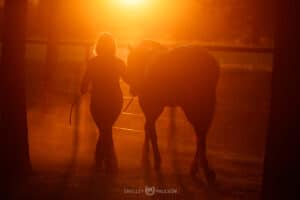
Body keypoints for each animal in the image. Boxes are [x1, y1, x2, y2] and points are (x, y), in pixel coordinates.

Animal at [126, 40, 220, 183]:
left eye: (131, 61)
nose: (133, 90)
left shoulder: (150, 105)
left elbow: (150, 130)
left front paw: (155, 159)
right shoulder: (152, 107)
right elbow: (148, 127)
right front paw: (147, 154)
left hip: (194, 106)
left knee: (200, 133)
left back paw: (202, 169)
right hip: (208, 106)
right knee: (202, 134)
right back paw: (201, 169)